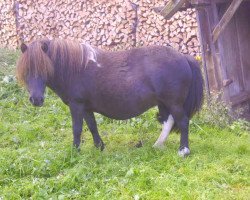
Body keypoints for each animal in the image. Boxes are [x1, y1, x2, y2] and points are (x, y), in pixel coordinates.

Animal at [16, 38, 203, 156]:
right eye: (27, 70)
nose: (36, 99)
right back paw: (158, 145)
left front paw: (75, 151)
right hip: (164, 103)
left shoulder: (76, 105)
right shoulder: (86, 107)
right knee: (168, 121)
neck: (75, 68)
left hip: (174, 102)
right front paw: (100, 147)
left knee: (183, 122)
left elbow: (77, 129)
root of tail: (184, 57)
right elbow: (92, 126)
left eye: (44, 67)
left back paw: (183, 151)